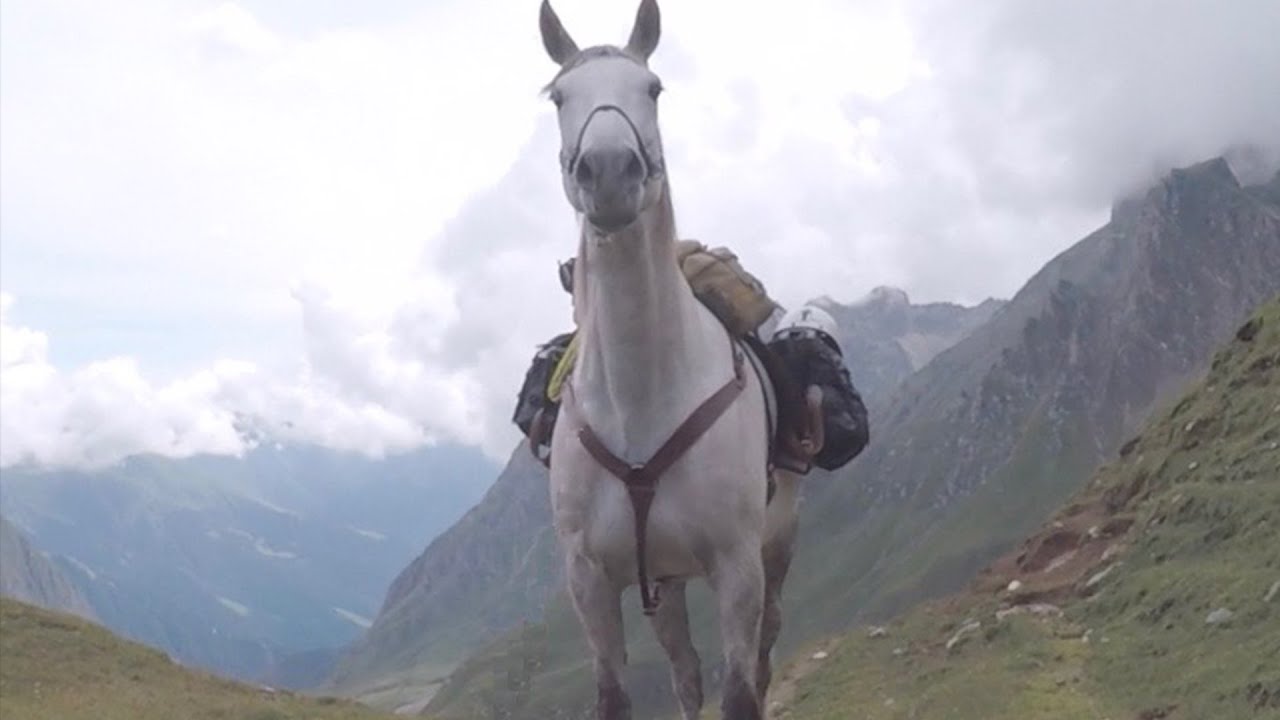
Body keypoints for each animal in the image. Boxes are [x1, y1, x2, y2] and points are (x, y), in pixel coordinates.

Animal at [538, 2, 804, 718]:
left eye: (653, 89)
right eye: (558, 97)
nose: (608, 172)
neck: (641, 400)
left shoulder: (737, 568)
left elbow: (740, 692)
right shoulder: (590, 583)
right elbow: (615, 695)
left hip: (774, 550)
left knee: (763, 654)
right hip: (665, 580)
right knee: (685, 674)